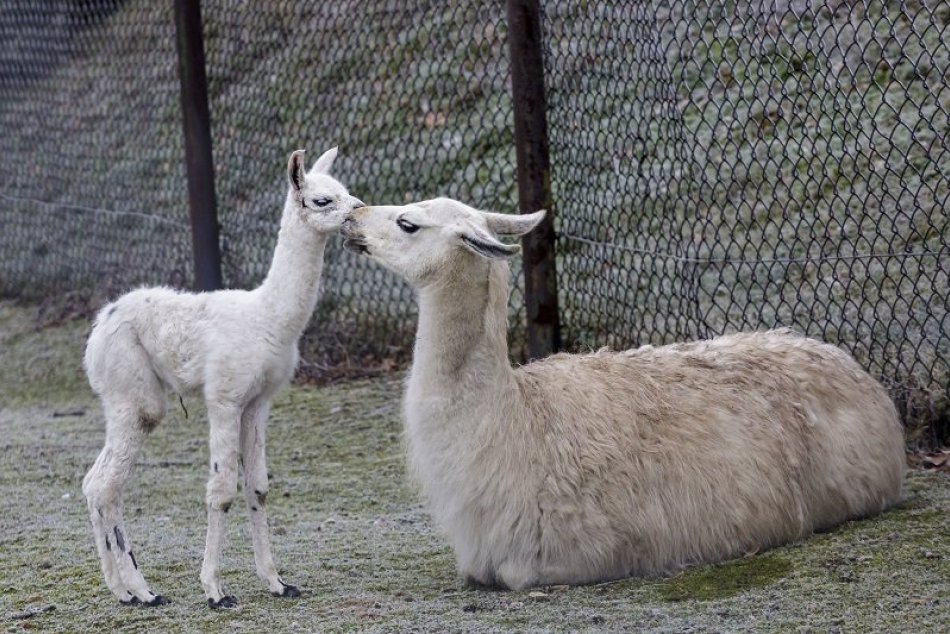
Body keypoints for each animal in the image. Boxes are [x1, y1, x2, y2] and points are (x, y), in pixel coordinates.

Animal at [82, 146, 364, 604]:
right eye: (322, 200)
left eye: (348, 191)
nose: (360, 211)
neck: (268, 318)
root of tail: (99, 326)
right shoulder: (225, 397)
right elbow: (221, 491)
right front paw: (215, 591)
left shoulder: (259, 401)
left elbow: (258, 488)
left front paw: (277, 582)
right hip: (134, 394)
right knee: (107, 485)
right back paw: (145, 592)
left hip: (128, 398)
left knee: (94, 483)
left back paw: (122, 591)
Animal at [344, 198, 908, 588]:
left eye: (408, 223)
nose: (353, 215)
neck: (515, 421)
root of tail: (854, 368)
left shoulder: (575, 553)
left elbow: (515, 575)